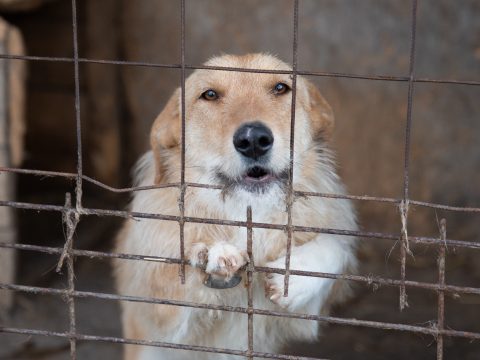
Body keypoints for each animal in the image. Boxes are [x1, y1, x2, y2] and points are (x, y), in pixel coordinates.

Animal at [114, 52, 358, 358]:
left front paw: (293, 278)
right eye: (209, 94)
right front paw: (210, 251)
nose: (253, 140)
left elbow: (334, 246)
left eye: (280, 88)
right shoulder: (161, 317)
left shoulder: (305, 316)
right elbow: (176, 283)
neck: (245, 214)